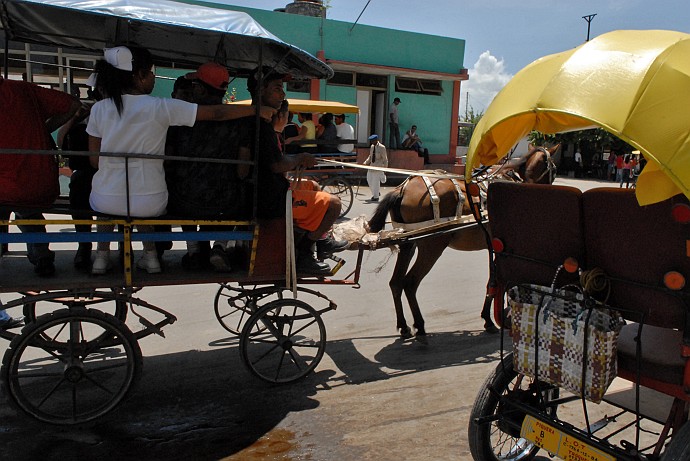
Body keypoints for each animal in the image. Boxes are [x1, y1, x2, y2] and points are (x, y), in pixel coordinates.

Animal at [368, 146, 556, 340]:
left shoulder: (493, 248)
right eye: (554, 170)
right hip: (432, 246)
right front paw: (494, 319)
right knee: (410, 283)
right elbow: (500, 282)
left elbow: (493, 282)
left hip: (407, 243)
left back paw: (404, 326)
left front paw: (489, 318)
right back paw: (420, 326)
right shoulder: (505, 251)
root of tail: (403, 189)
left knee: (396, 282)